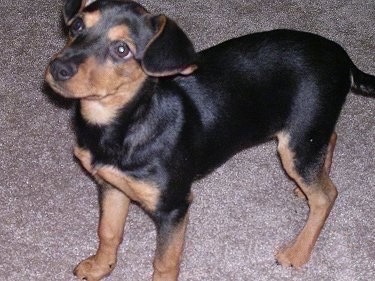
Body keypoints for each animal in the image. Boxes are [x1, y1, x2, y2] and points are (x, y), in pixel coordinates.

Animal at [44, 0, 375, 278]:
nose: (58, 68)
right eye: (77, 27)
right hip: (305, 133)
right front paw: (99, 267)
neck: (126, 122)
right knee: (330, 138)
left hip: (298, 139)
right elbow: (108, 232)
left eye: (122, 50)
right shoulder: (111, 185)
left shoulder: (173, 207)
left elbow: (164, 262)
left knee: (326, 195)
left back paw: (297, 251)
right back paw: (303, 188)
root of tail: (343, 57)